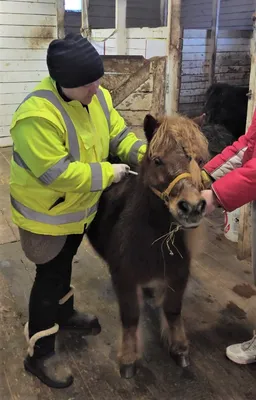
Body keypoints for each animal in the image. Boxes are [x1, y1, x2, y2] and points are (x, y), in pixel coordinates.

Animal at [87, 111, 211, 378]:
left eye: (199, 160)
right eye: (157, 160)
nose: (192, 207)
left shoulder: (178, 275)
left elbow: (173, 310)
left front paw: (179, 349)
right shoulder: (124, 279)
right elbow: (131, 316)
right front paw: (128, 359)